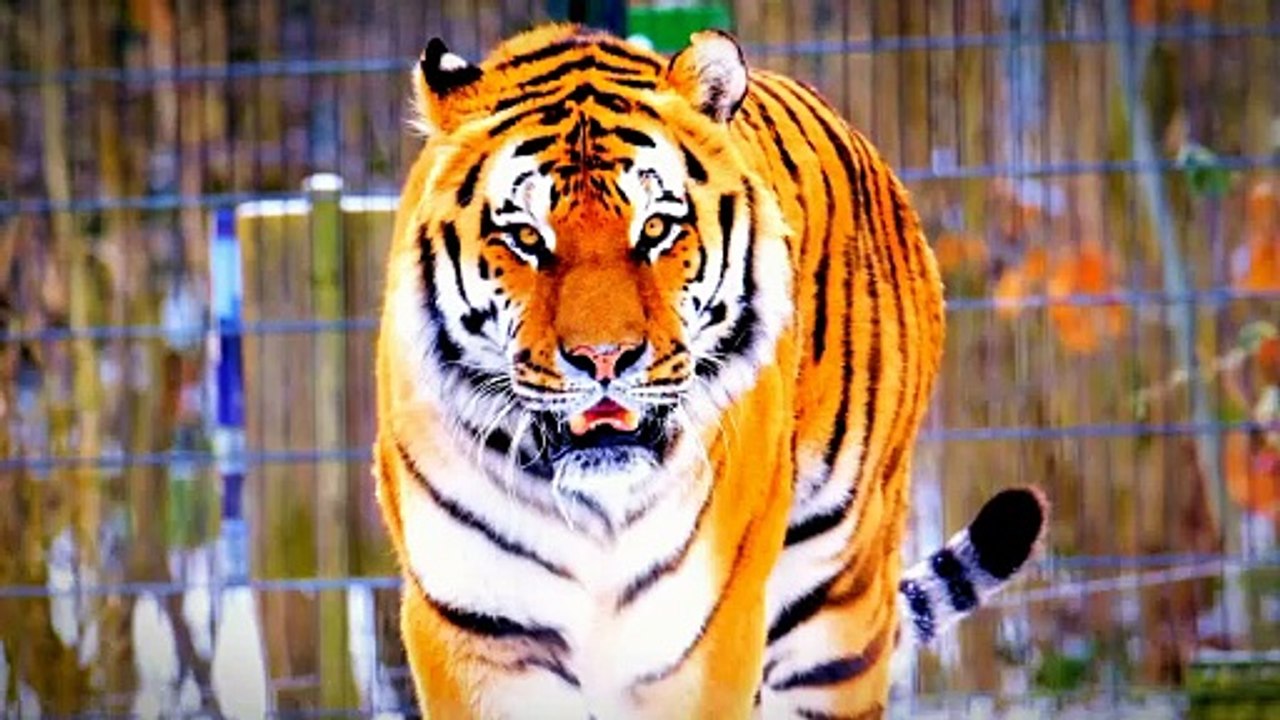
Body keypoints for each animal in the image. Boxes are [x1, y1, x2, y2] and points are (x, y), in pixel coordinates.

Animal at [371, 23, 1048, 720]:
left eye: (656, 228)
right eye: (527, 238)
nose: (605, 358)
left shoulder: (705, 638)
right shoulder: (476, 631)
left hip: (838, 608)